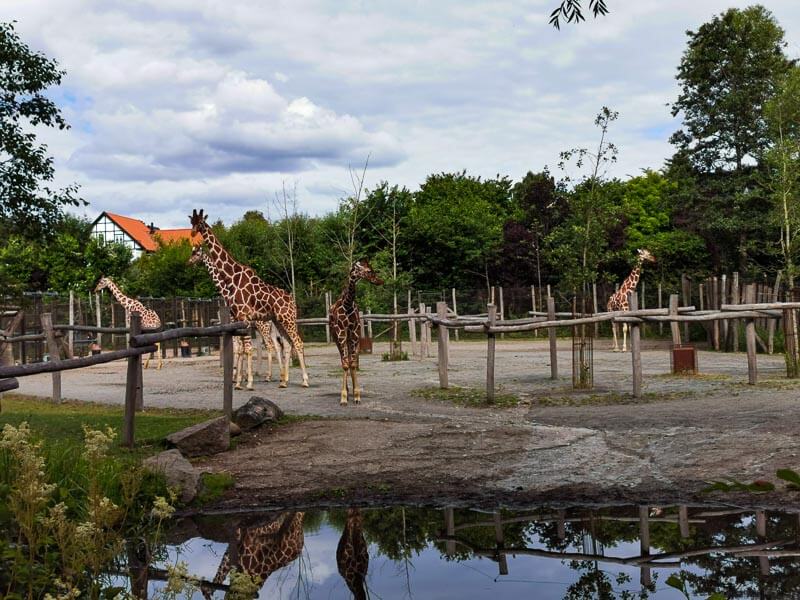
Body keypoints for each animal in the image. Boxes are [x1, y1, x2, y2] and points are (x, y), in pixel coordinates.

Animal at [189, 245, 286, 390]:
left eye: (196, 253)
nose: (189, 261)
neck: (226, 292)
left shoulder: (235, 325)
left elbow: (238, 349)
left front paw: (238, 377)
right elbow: (241, 349)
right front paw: (241, 377)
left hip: (263, 327)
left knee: (269, 346)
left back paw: (269, 376)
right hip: (267, 328)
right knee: (276, 345)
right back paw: (281, 377)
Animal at [328, 258, 384, 406]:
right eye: (369, 270)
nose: (380, 281)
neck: (347, 304)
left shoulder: (354, 333)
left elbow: (353, 363)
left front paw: (357, 394)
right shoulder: (341, 332)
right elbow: (345, 363)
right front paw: (343, 397)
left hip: (350, 337)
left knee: (349, 359)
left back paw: (351, 391)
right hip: (337, 337)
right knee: (343, 359)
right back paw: (347, 391)